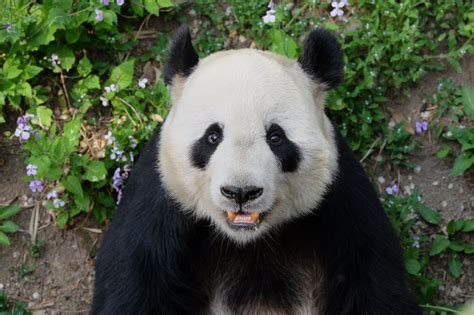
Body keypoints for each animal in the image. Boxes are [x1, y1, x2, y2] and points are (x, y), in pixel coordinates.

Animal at [90, 25, 420, 314]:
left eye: (276, 137)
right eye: (213, 136)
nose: (240, 192)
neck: (247, 241)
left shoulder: (342, 205)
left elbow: (374, 284)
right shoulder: (157, 205)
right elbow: (132, 282)